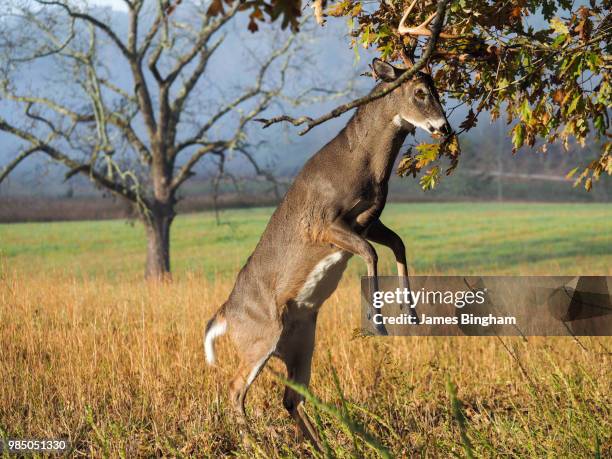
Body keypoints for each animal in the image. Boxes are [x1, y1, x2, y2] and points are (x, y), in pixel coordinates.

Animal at [203, 1, 452, 450]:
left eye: (438, 88)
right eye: (419, 92)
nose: (443, 128)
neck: (363, 167)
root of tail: (225, 315)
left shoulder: (370, 219)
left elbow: (399, 245)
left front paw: (411, 314)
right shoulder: (324, 224)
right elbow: (372, 254)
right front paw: (379, 325)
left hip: (300, 342)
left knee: (289, 397)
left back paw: (324, 447)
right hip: (259, 336)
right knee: (234, 390)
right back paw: (256, 445)